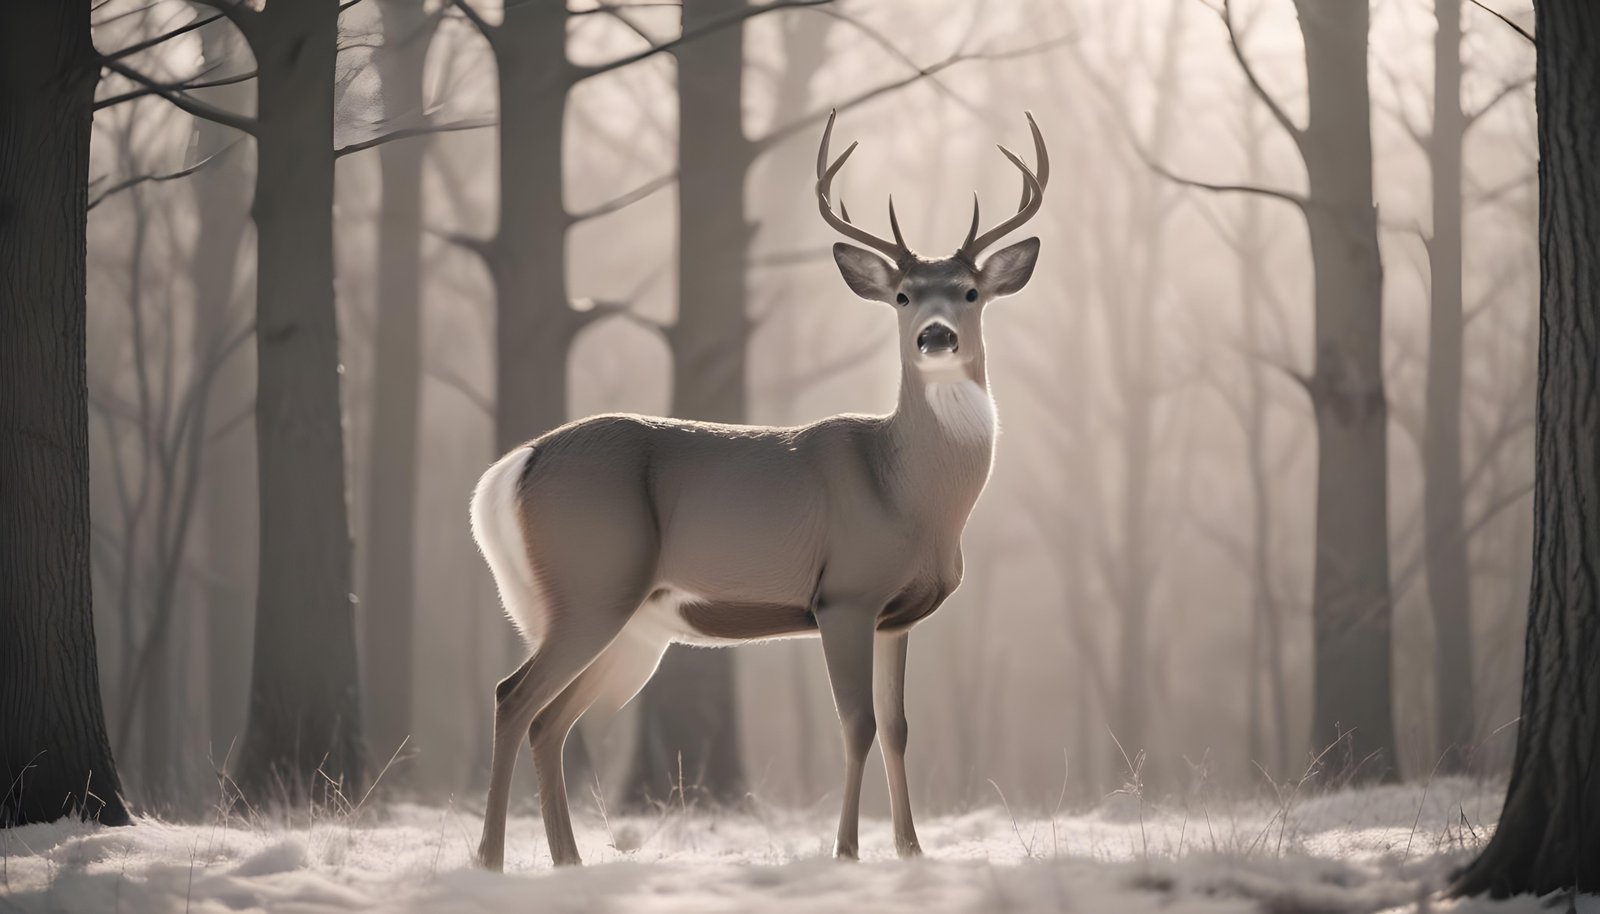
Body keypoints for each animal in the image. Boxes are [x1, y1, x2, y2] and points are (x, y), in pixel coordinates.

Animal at [470, 110, 1048, 870]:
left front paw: (910, 849)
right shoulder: (844, 594)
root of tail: (516, 465)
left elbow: (898, 727)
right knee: (512, 697)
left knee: (551, 721)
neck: (907, 491)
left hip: (630, 624)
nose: (935, 336)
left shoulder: (897, 617)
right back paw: (489, 859)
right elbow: (857, 724)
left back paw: (568, 860)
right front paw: (845, 850)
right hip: (591, 585)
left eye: (972, 293)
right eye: (902, 296)